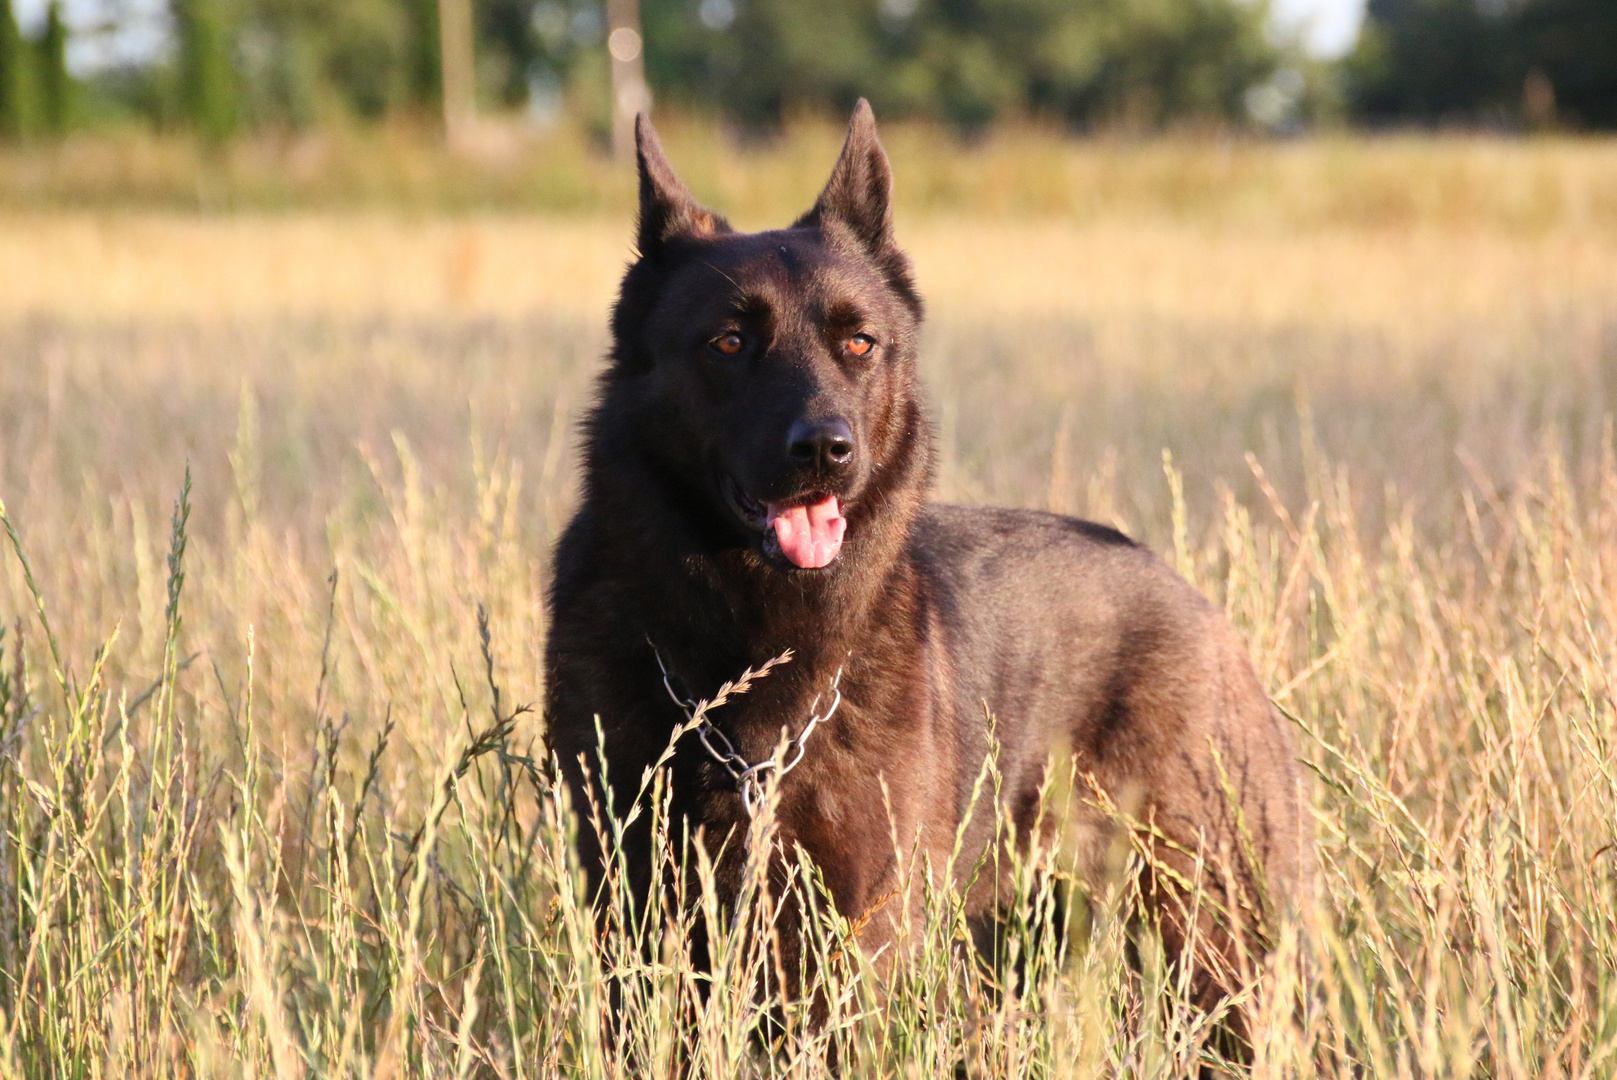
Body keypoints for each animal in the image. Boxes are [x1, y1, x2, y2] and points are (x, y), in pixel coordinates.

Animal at [549, 99, 1306, 1034]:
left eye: (858, 343)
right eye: (728, 341)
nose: (826, 450)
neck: (755, 652)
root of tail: (1189, 597)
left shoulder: (857, 945)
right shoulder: (639, 913)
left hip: (1210, 942)